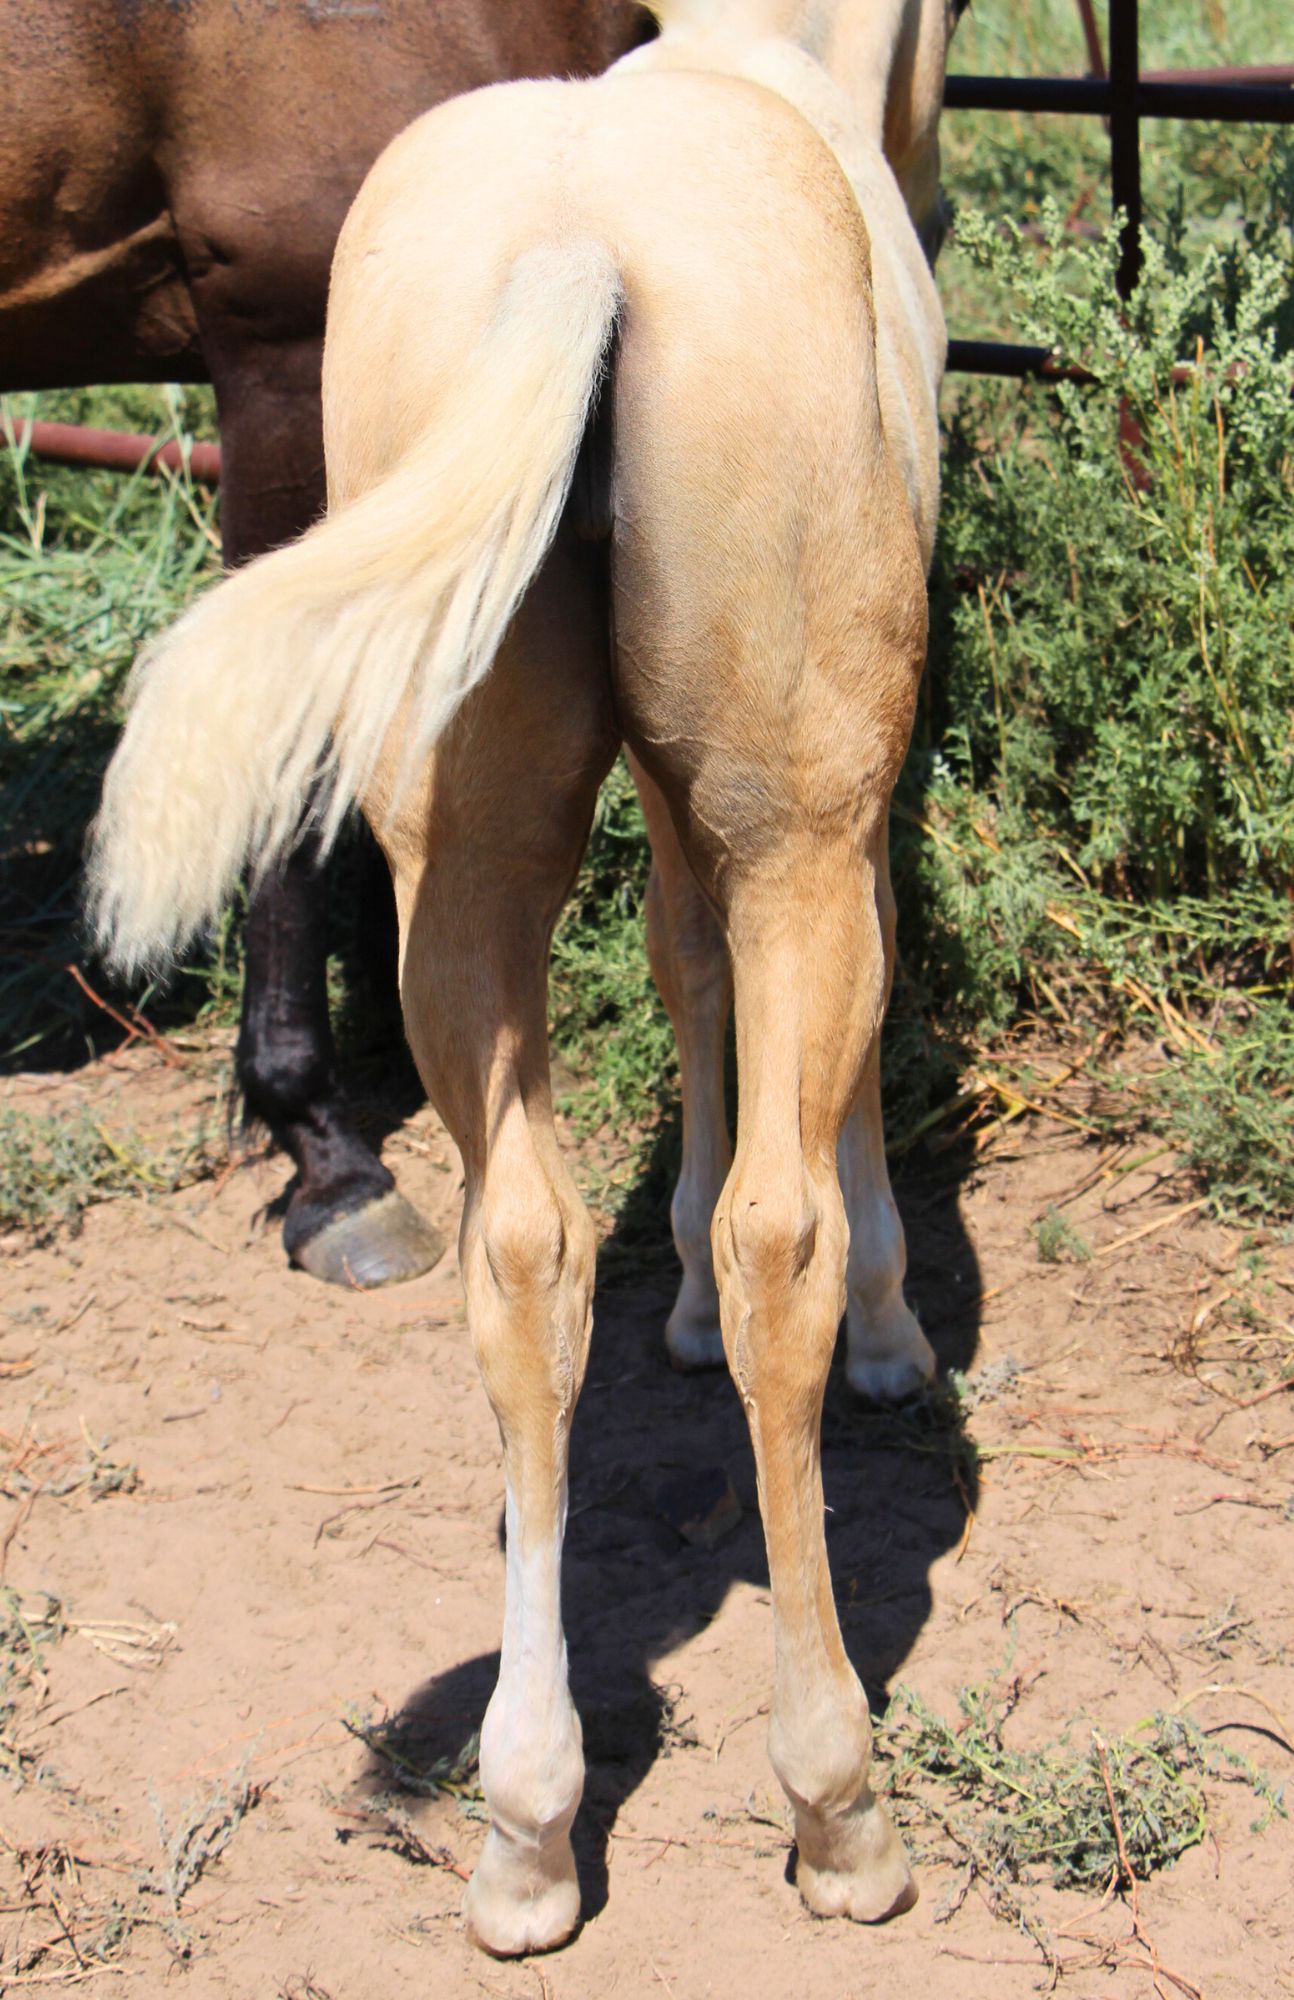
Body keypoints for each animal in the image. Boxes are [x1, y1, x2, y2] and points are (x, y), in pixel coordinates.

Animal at [90, 0, 960, 1956]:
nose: (935, 188)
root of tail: (579, 253)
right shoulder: (827, 815)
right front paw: (887, 1339)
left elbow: (682, 969)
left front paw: (678, 1311)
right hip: (787, 828)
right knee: (778, 1236)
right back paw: (838, 1812)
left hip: (463, 873)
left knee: (519, 1256)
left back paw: (526, 1833)